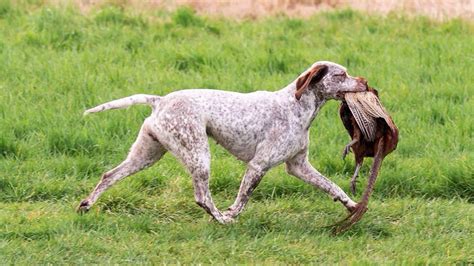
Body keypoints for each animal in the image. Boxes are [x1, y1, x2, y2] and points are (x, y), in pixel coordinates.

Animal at [78, 60, 368, 222]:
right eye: (341, 75)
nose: (365, 82)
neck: (297, 107)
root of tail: (160, 100)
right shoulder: (258, 166)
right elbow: (242, 200)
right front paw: (231, 214)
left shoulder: (299, 166)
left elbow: (333, 187)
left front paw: (353, 207)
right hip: (199, 155)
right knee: (202, 198)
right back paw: (221, 220)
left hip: (146, 155)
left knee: (109, 176)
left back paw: (86, 205)